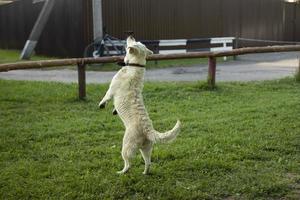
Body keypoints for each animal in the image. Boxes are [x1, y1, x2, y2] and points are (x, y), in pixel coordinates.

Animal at [99, 36, 182, 175]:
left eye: (134, 43)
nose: (130, 36)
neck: (135, 66)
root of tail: (148, 130)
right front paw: (114, 110)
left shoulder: (111, 90)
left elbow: (106, 96)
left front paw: (102, 104)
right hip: (146, 149)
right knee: (148, 162)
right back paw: (145, 173)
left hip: (127, 147)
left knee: (128, 163)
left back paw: (121, 172)